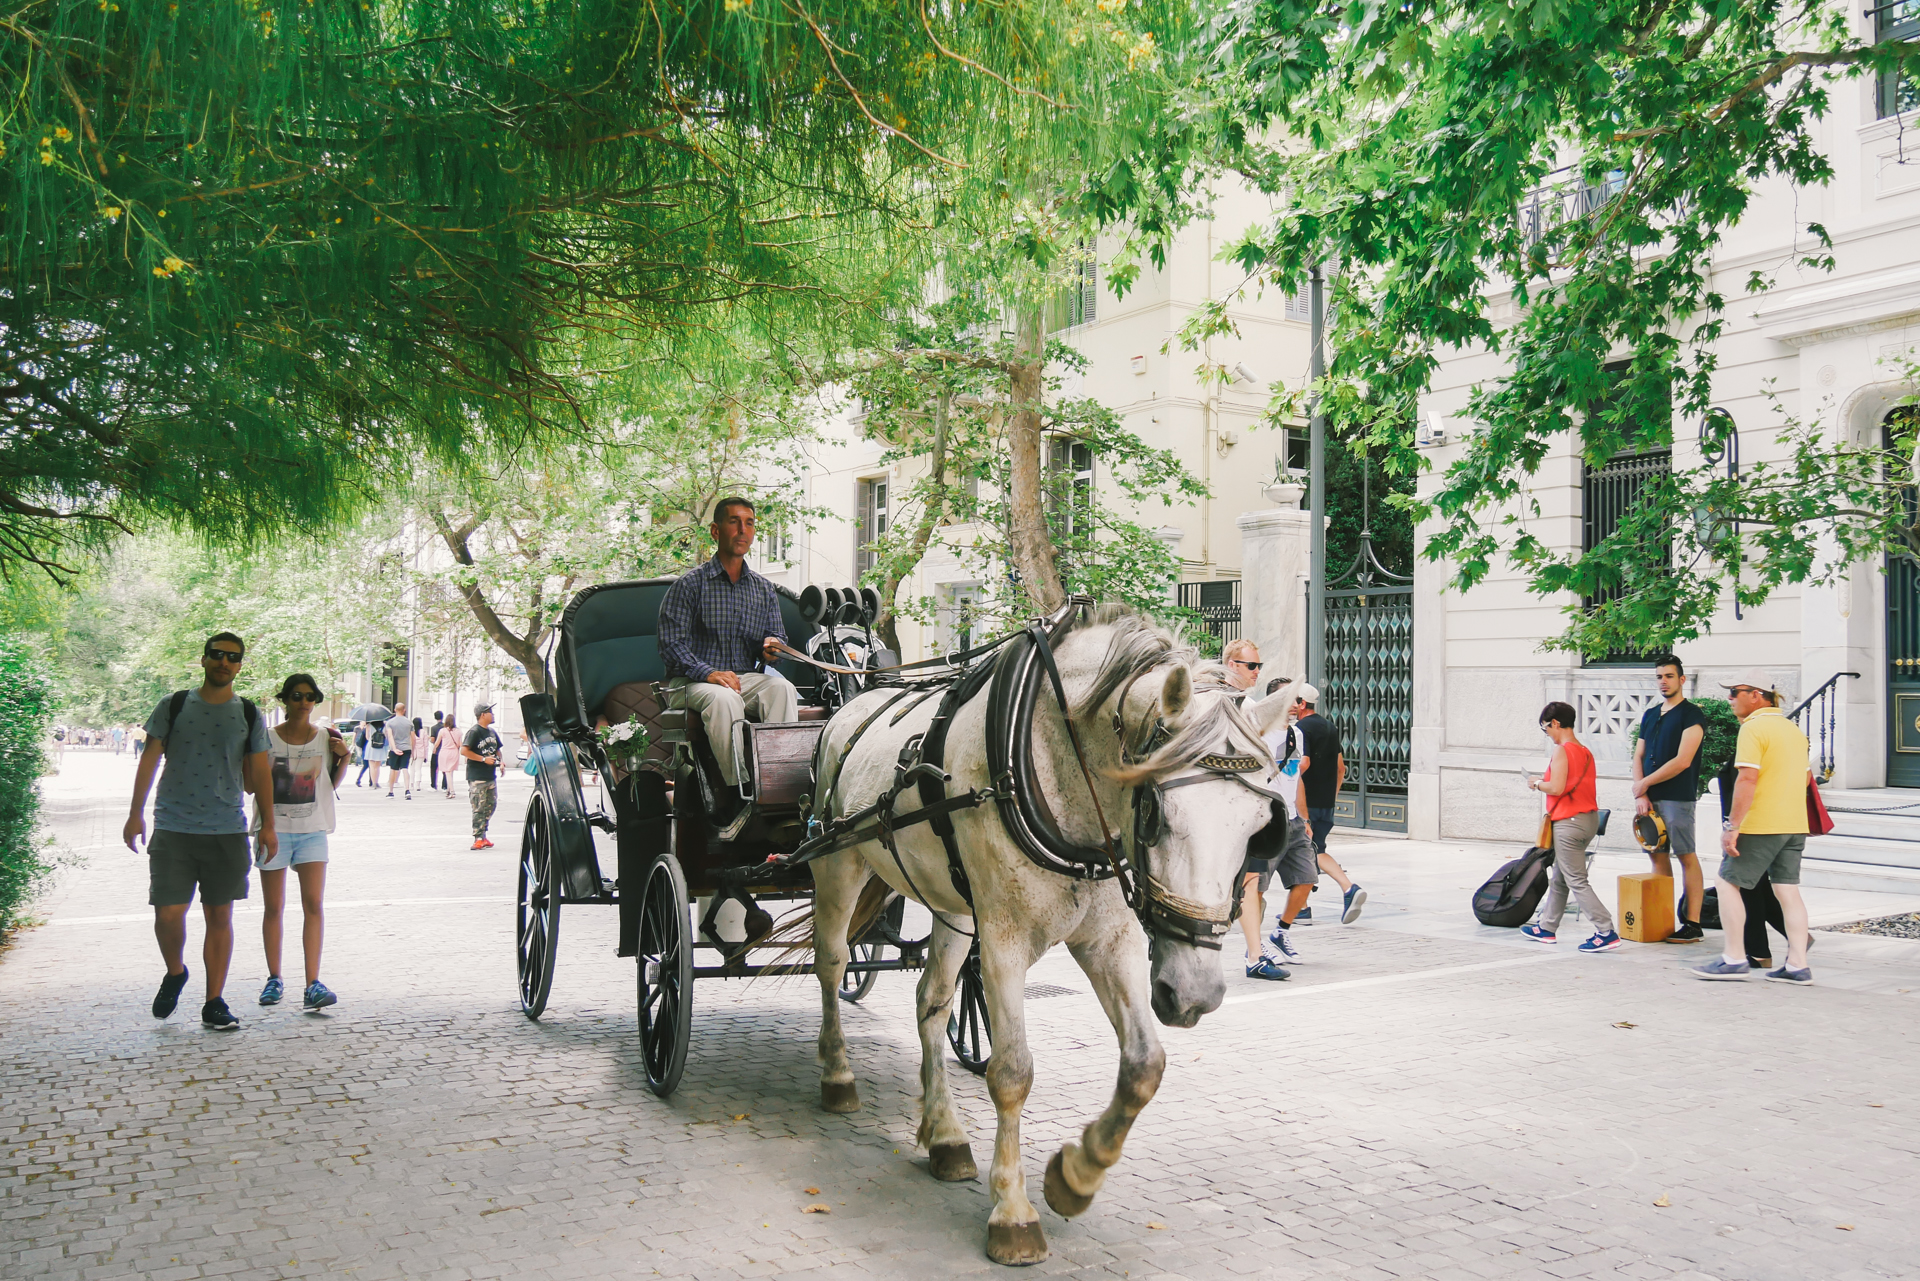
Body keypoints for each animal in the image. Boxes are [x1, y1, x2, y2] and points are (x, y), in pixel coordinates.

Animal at [802, 606, 1297, 1267]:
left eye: (1260, 826)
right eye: (1154, 814)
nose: (1194, 995)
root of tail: (848, 707)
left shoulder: (1110, 942)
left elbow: (1145, 1064)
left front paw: (1076, 1176)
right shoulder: (1003, 941)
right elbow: (1011, 1073)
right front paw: (1013, 1213)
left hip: (954, 908)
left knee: (932, 1003)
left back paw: (945, 1135)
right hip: (839, 867)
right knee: (831, 964)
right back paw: (838, 1077)